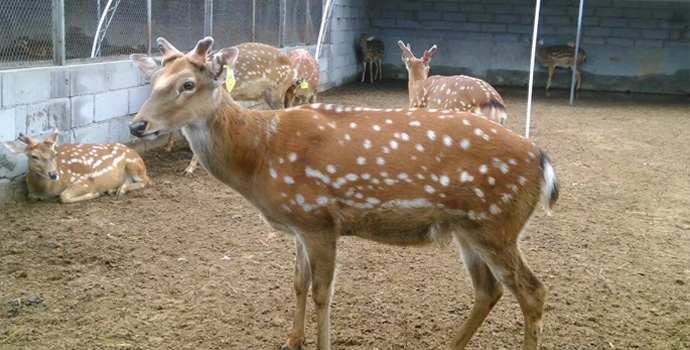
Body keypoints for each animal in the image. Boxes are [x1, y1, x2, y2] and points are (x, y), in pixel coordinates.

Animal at [4, 131, 150, 202]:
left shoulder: (82, 182)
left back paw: (119, 190)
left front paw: (95, 193)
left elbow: (63, 197)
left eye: (55, 154)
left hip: (133, 165)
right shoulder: (31, 193)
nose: (53, 174)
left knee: (147, 181)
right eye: (34, 156)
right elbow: (33, 197)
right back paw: (113, 190)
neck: (46, 190)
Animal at [142, 42, 296, 176]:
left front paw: (190, 168)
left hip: (277, 91)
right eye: (153, 82)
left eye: (186, 85)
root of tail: (292, 69)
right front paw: (168, 147)